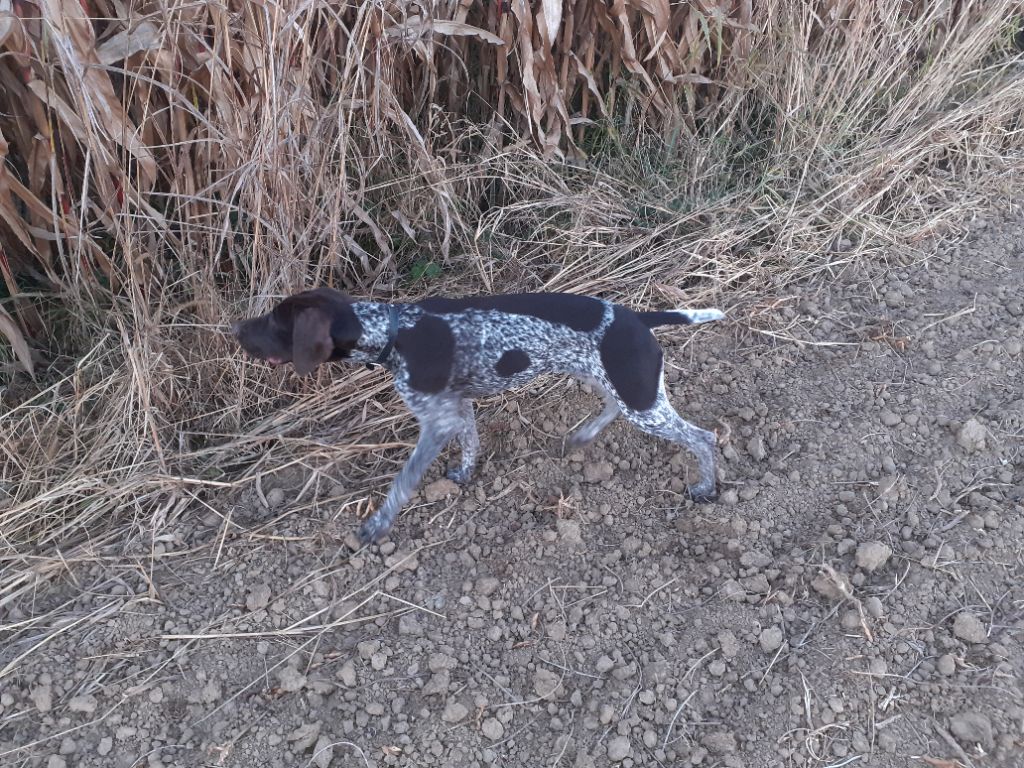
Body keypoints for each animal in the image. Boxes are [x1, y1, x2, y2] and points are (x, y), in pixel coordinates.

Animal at [234, 288, 724, 548]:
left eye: (276, 323)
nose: (236, 329)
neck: (392, 332)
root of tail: (639, 317)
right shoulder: (456, 407)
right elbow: (470, 441)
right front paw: (465, 474)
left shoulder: (435, 424)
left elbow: (403, 481)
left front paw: (377, 524)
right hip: (612, 383)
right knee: (610, 408)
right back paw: (582, 436)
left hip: (640, 399)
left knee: (704, 438)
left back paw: (706, 487)